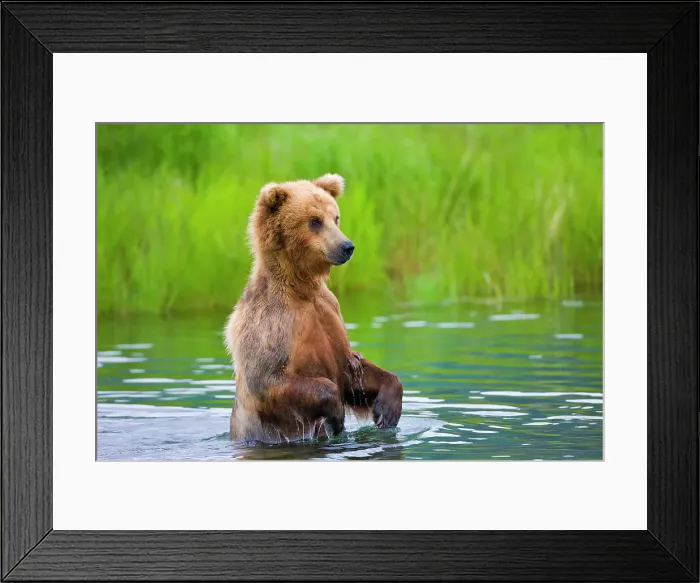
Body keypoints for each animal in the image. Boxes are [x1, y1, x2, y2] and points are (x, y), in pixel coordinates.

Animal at [224, 174, 403, 443]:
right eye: (315, 221)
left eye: (336, 217)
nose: (347, 246)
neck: (301, 287)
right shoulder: (271, 325)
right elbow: (267, 378)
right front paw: (336, 415)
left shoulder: (329, 314)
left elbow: (352, 371)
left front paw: (386, 410)